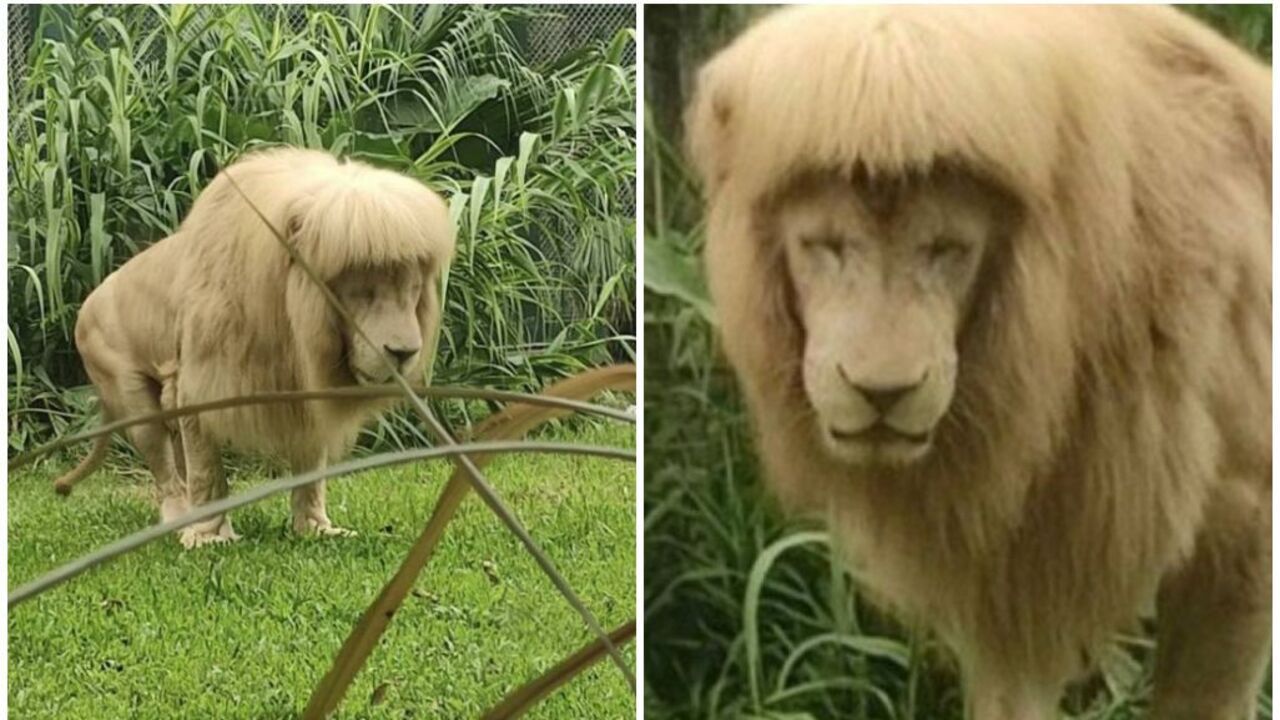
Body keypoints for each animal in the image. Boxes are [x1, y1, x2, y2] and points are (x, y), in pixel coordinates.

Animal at [54, 148, 456, 548]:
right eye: (362, 292)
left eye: (412, 290)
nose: (405, 352)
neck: (292, 326)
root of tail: (85, 307)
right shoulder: (199, 384)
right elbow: (207, 471)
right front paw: (208, 537)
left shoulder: (305, 392)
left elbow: (311, 470)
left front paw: (316, 529)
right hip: (132, 395)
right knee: (167, 472)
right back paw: (180, 521)